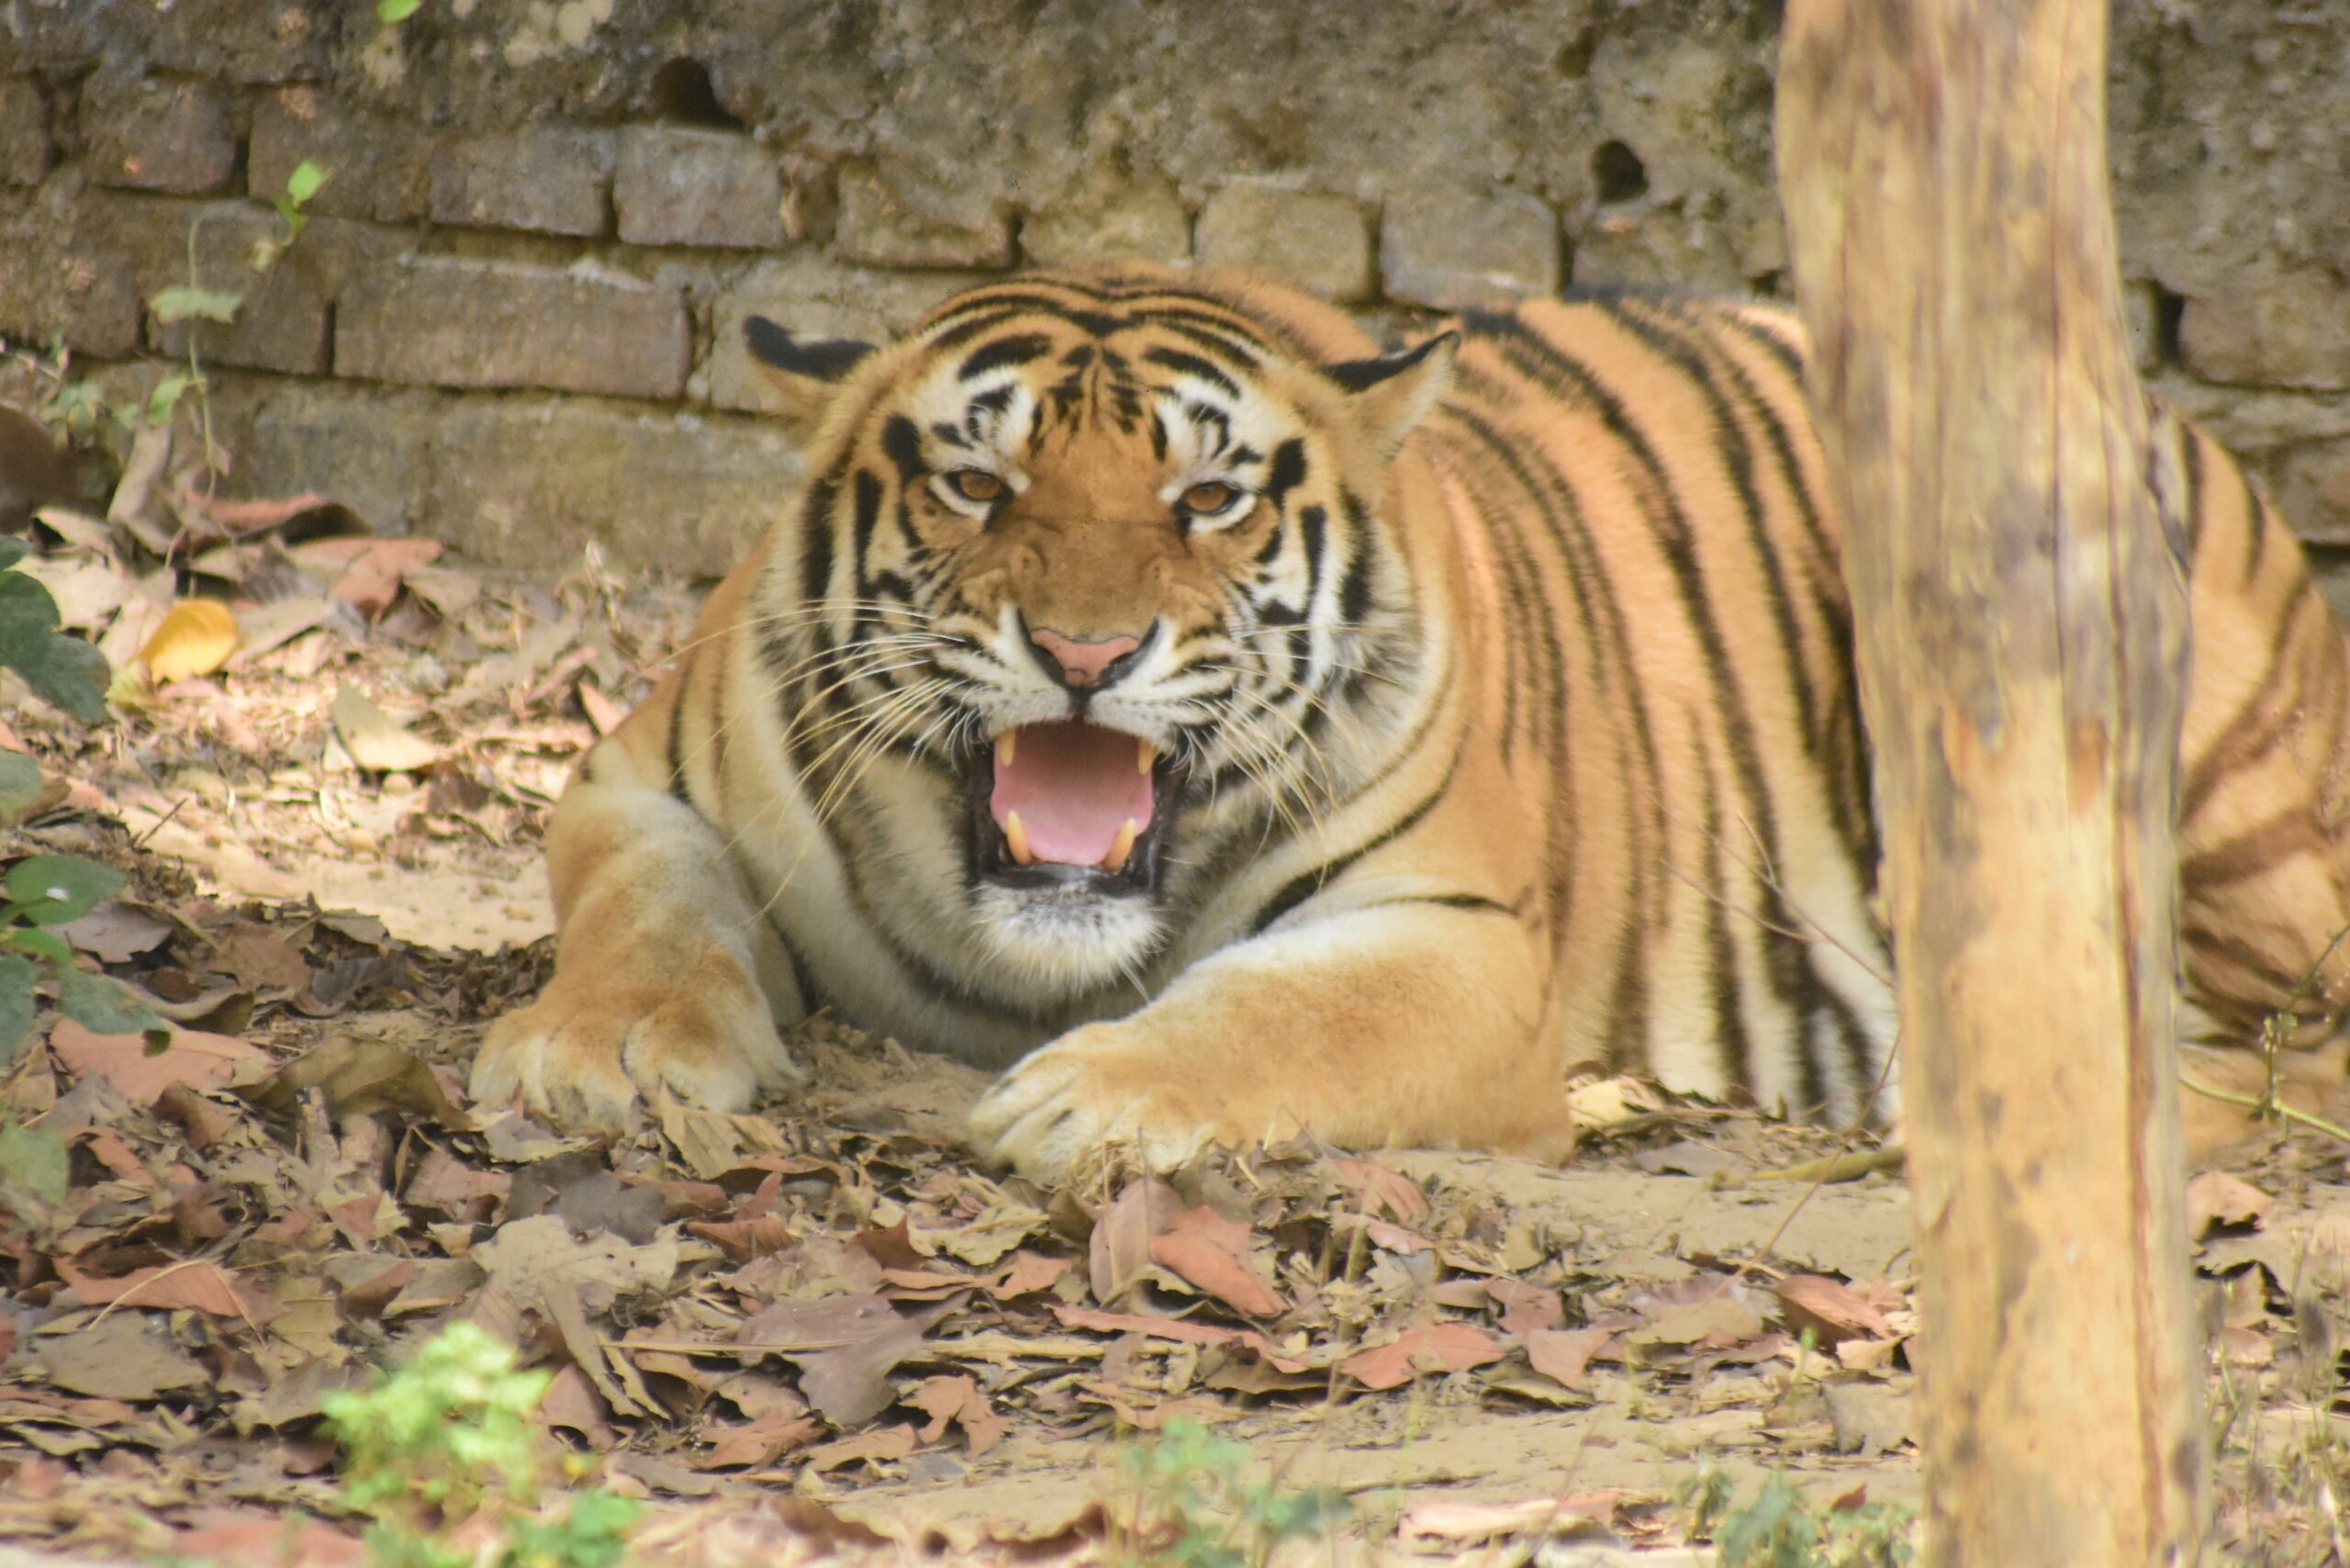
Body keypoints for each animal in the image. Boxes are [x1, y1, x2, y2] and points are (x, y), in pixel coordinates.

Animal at [467, 266, 2350, 1175]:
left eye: (1210, 498)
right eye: (979, 485)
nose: (1083, 650)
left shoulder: (1456, 930)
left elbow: (1282, 1016)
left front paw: (1086, 1104)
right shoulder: (640, 776)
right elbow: (649, 910)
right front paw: (602, 1053)